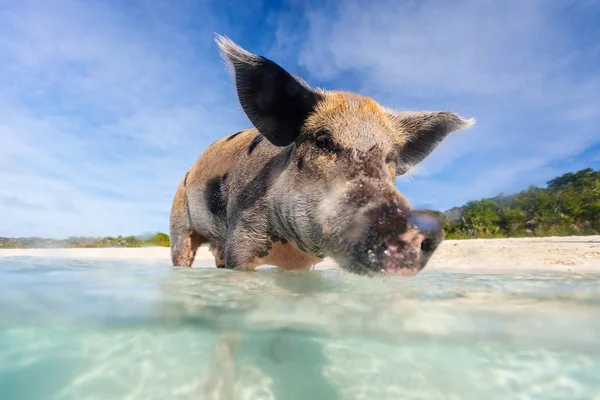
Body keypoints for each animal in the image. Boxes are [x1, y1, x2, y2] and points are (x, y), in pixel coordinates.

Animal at [168, 34, 474, 276]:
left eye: (390, 159)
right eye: (323, 142)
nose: (417, 227)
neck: (290, 250)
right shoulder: (242, 236)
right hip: (178, 222)